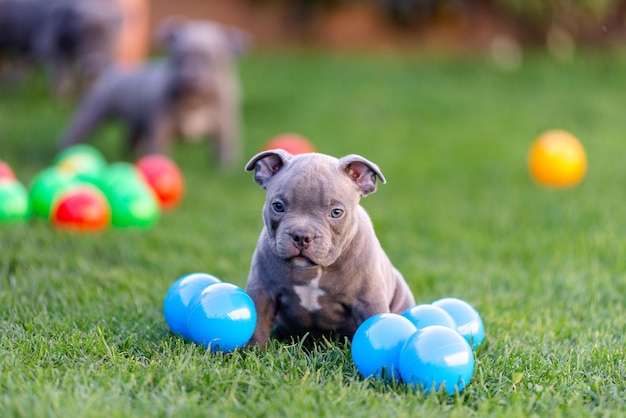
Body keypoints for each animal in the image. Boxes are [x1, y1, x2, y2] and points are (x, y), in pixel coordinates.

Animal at [58, 17, 249, 168]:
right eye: (178, 56)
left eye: (210, 59)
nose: (188, 80)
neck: (195, 99)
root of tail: (111, 72)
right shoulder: (160, 130)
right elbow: (159, 153)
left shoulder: (225, 127)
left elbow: (224, 151)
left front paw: (226, 173)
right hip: (92, 111)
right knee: (76, 132)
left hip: (134, 123)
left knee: (131, 139)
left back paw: (130, 155)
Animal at [244, 150, 414, 346]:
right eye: (278, 206)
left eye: (336, 212)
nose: (301, 235)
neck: (314, 270)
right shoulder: (262, 292)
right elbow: (258, 326)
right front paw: (253, 350)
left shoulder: (368, 300)